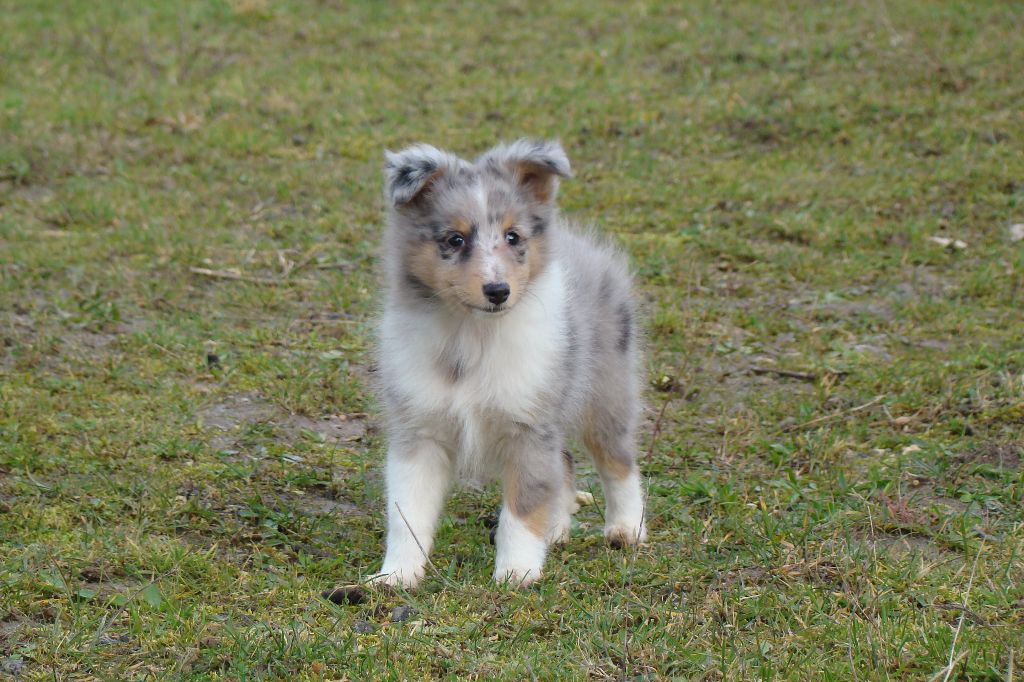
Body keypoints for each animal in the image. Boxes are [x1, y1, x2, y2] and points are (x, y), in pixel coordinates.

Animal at [376, 138, 643, 585]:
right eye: (455, 239)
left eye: (513, 236)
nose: (498, 291)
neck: (474, 334)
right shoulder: (420, 429)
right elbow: (406, 512)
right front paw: (396, 575)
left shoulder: (527, 427)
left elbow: (522, 506)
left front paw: (517, 572)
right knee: (564, 462)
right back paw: (556, 530)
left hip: (606, 392)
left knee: (618, 460)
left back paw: (627, 529)